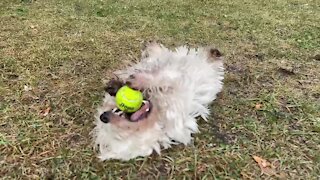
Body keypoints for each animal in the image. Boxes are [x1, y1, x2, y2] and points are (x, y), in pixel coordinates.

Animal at [91, 40, 224, 160]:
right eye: (120, 135)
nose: (103, 117)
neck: (157, 108)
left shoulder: (174, 85)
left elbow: (162, 79)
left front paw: (124, 84)